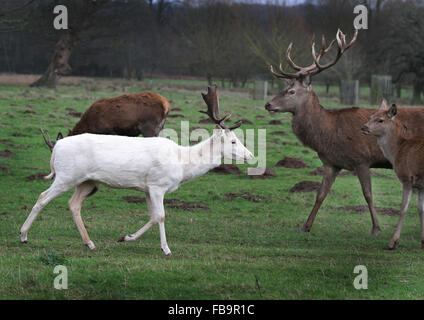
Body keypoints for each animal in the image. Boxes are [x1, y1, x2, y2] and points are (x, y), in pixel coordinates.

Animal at [362, 101, 424, 249]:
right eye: (370, 116)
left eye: (380, 120)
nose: (364, 127)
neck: (396, 151)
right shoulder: (420, 185)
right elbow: (421, 210)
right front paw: (423, 241)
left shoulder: (407, 178)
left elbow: (403, 209)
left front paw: (393, 242)